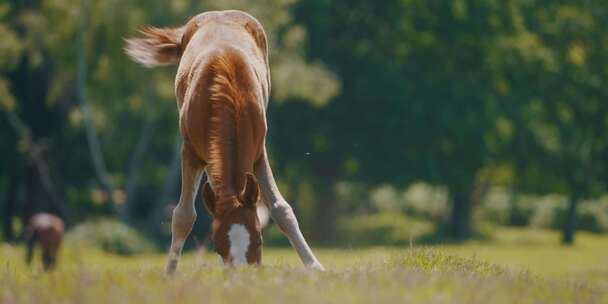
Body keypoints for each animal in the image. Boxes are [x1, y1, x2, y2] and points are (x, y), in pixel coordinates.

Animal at [123, 9, 324, 272]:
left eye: (259, 241)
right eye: (217, 245)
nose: (242, 275)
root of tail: (218, 13)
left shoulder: (258, 153)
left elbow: (281, 209)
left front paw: (315, 267)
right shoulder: (190, 152)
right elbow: (183, 216)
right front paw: (169, 273)